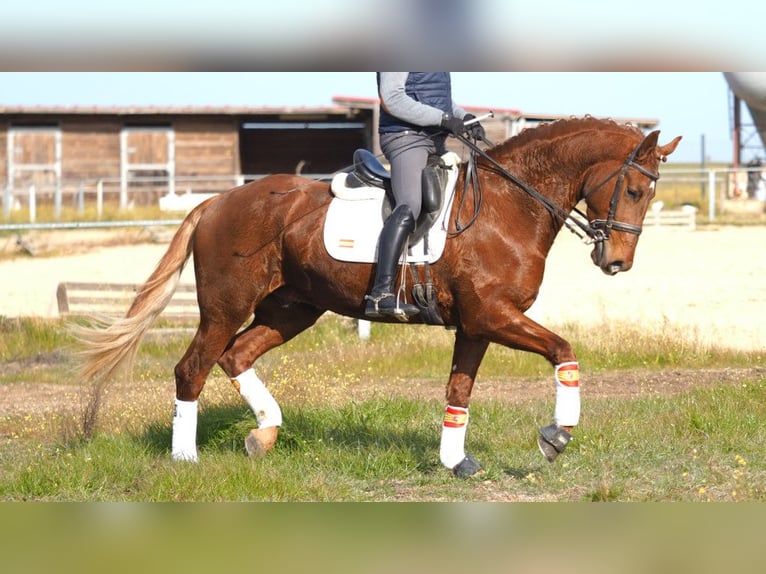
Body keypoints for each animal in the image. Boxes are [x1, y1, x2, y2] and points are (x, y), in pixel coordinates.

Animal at [78, 116, 684, 476]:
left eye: (651, 193)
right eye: (634, 189)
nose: (617, 262)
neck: (509, 206)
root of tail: (219, 200)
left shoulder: (476, 324)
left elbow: (459, 390)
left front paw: (454, 461)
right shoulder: (494, 315)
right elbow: (564, 351)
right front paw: (556, 436)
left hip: (294, 309)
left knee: (236, 357)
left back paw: (264, 434)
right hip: (225, 308)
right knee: (194, 367)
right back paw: (186, 456)